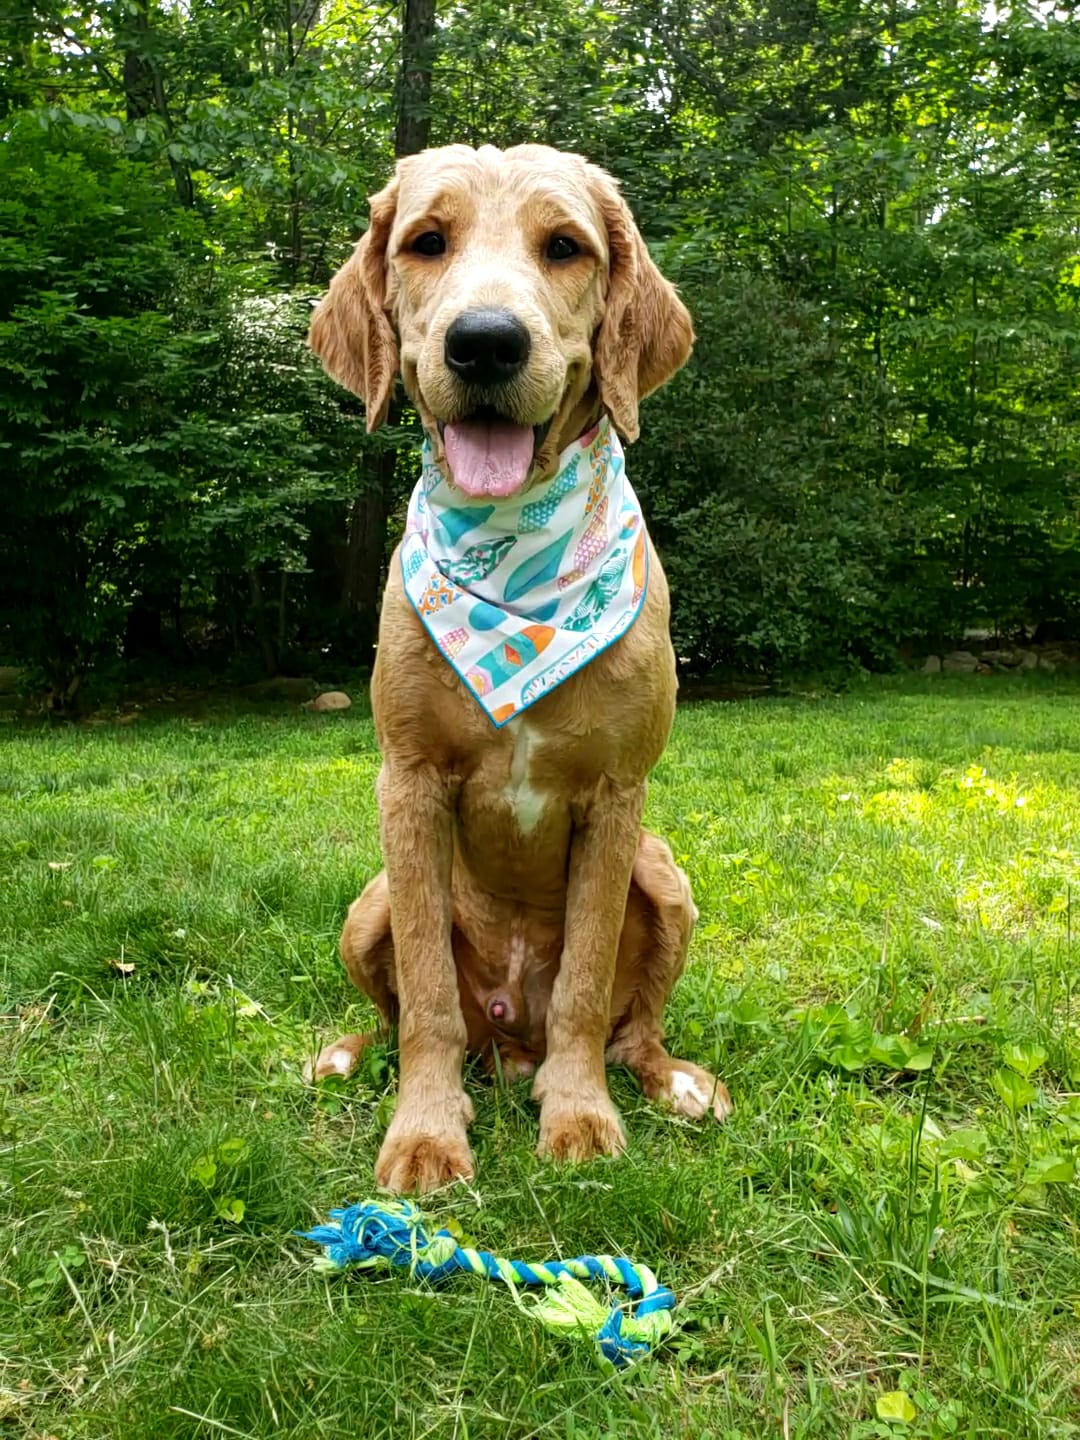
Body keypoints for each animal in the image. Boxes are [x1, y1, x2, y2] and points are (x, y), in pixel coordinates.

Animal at [305, 143, 731, 1192]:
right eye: (426, 242)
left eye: (565, 247)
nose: (486, 343)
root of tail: (509, 1035)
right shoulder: (408, 783)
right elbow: (423, 989)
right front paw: (424, 1130)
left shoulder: (617, 798)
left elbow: (584, 982)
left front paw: (578, 1114)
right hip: (367, 901)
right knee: (406, 1017)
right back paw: (358, 1054)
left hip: (665, 873)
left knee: (634, 1025)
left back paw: (668, 1079)